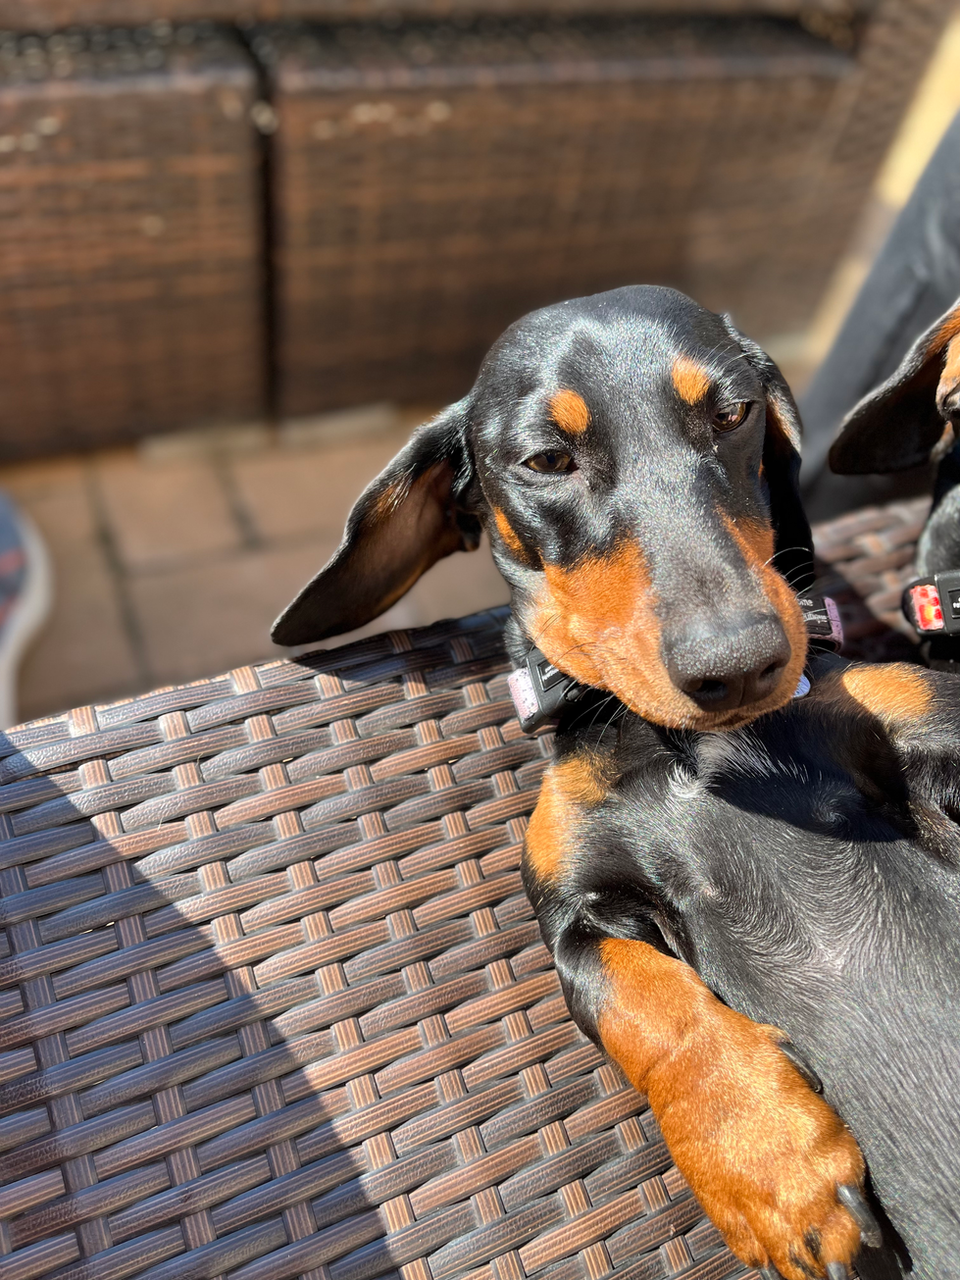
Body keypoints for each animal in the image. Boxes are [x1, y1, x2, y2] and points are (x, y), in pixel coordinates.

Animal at [273, 286, 960, 1280]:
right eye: (548, 460)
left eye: (734, 413)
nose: (739, 665)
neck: (678, 745)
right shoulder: (572, 911)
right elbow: (644, 1004)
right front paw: (771, 1166)